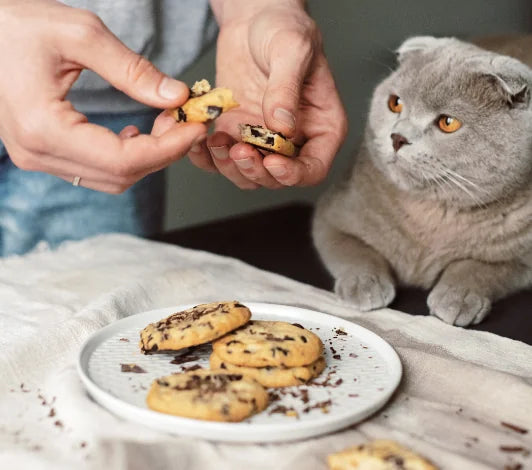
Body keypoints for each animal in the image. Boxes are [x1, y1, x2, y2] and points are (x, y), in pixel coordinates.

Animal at [312, 35, 532, 326]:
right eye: (395, 103)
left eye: (448, 122)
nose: (397, 137)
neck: (428, 215)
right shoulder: (330, 216)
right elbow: (353, 249)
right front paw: (364, 285)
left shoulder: (523, 261)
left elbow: (479, 267)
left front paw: (457, 298)